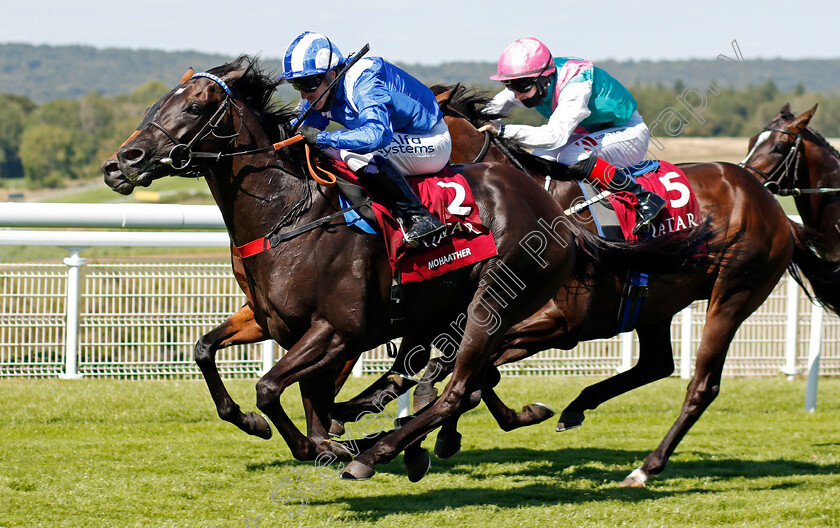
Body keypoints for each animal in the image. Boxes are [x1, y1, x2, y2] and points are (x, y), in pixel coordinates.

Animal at [103, 55, 708, 480]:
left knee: (459, 383)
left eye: (195, 107)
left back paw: (382, 450)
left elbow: (274, 388)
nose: (121, 162)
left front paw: (316, 442)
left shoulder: (340, 330)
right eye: (158, 102)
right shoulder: (271, 320)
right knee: (454, 379)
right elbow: (207, 351)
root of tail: (555, 215)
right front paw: (265, 425)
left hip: (493, 302)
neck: (289, 212)